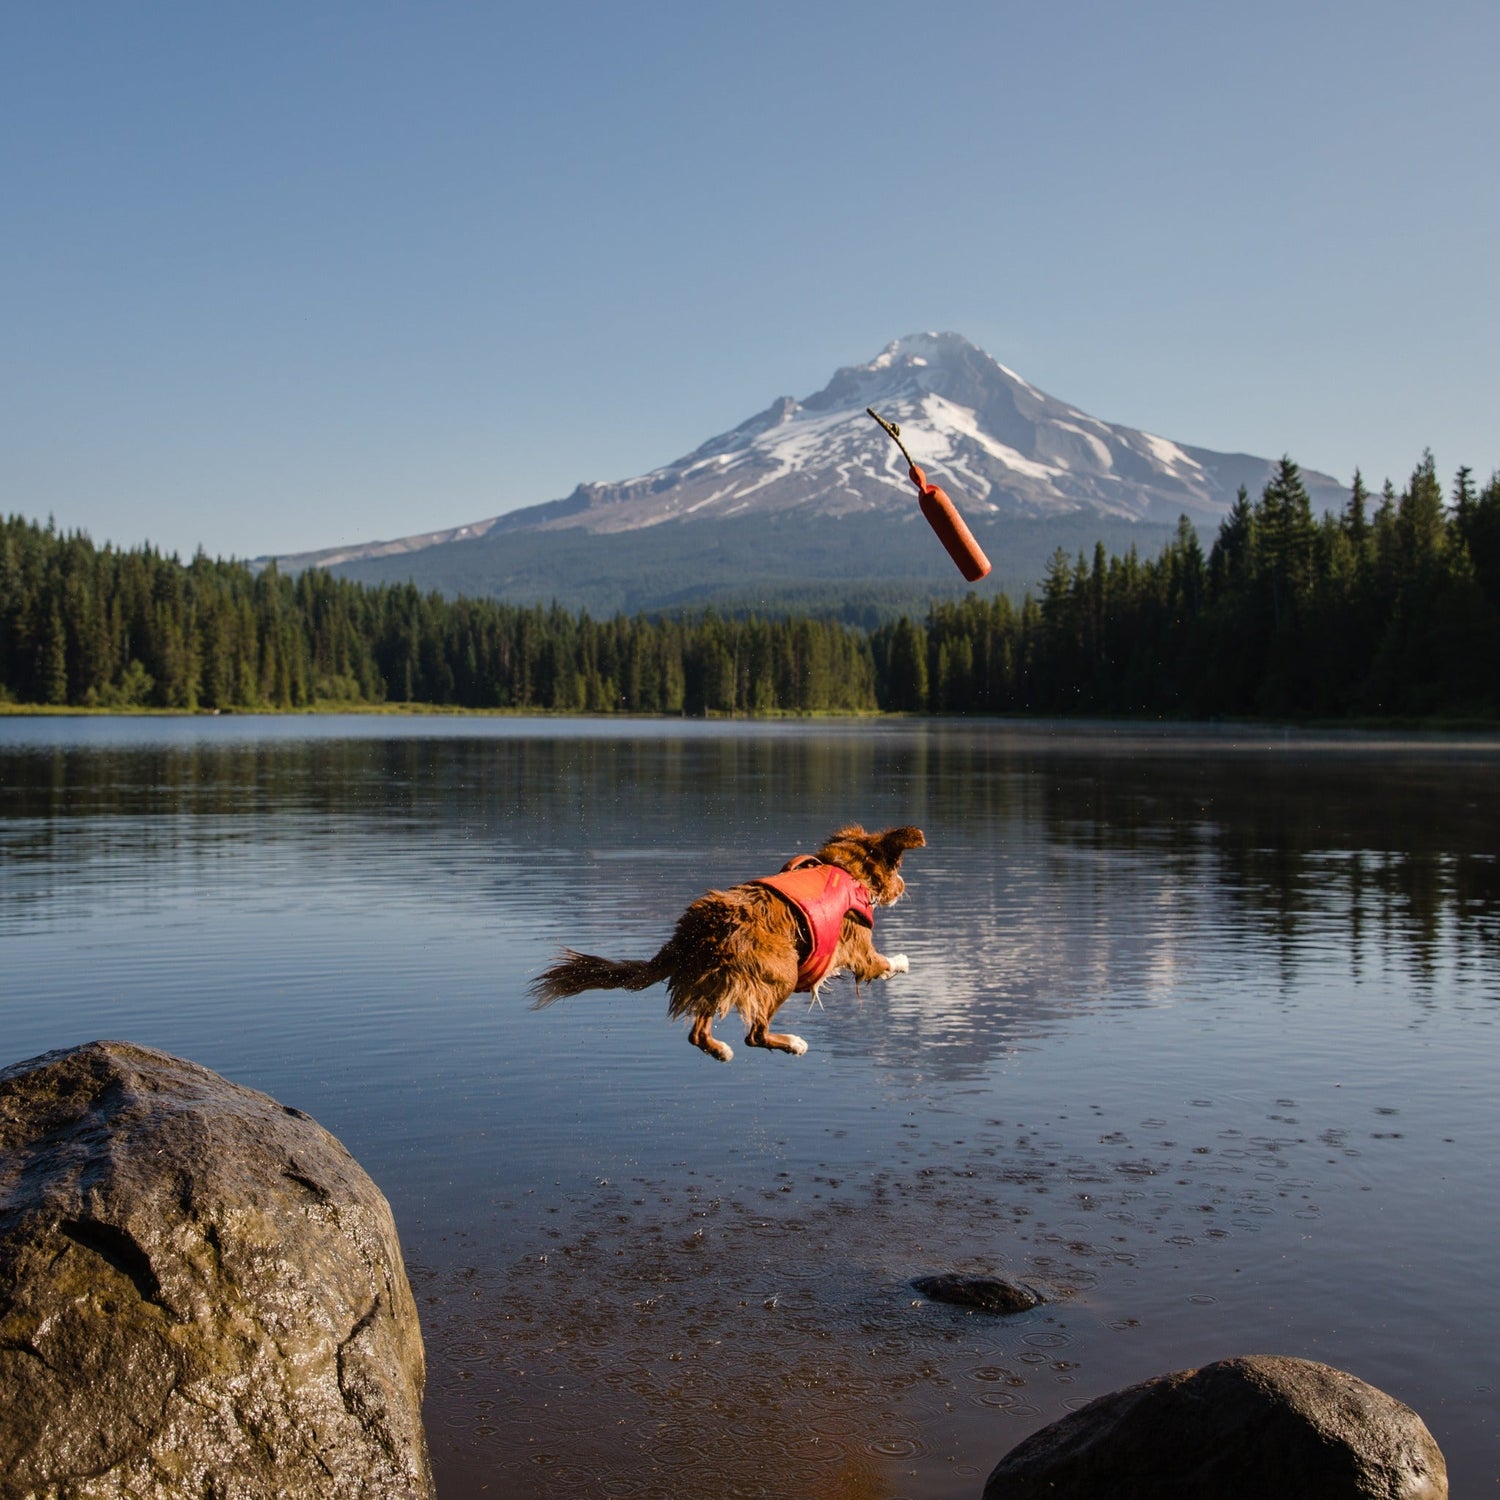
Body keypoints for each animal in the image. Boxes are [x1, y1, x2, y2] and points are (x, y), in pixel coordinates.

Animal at [534, 828, 918, 1062]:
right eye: (898, 870)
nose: (904, 887)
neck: (845, 870)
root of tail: (690, 932)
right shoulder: (859, 951)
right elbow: (881, 963)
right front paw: (902, 959)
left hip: (715, 977)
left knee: (698, 1034)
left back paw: (720, 1050)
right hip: (781, 972)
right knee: (755, 1035)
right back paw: (793, 1043)